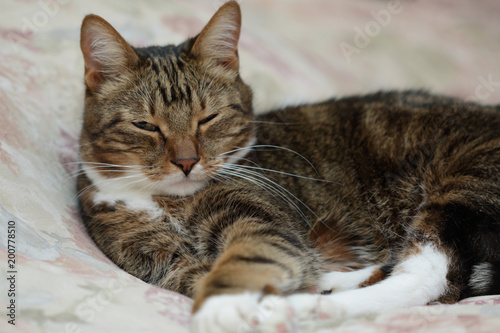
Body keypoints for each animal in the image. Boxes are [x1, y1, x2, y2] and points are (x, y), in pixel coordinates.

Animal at [77, 1, 500, 330]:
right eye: (146, 125)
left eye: (208, 119)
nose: (186, 161)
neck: (162, 199)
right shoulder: (158, 258)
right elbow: (196, 275)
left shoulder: (263, 221)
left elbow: (245, 259)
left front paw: (221, 308)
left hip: (464, 177)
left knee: (436, 277)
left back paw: (312, 305)